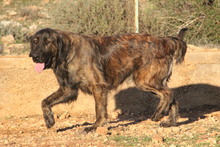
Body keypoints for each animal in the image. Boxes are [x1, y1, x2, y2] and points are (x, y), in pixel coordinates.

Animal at [28, 27, 187, 132]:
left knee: (168, 94)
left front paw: (95, 126)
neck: (68, 52)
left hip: (145, 81)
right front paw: (49, 119)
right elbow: (44, 101)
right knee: (172, 99)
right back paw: (170, 122)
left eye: (47, 42)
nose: (34, 56)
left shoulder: (98, 86)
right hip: (152, 82)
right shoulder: (68, 90)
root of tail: (164, 41)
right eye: (35, 41)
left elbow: (99, 110)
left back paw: (158, 114)